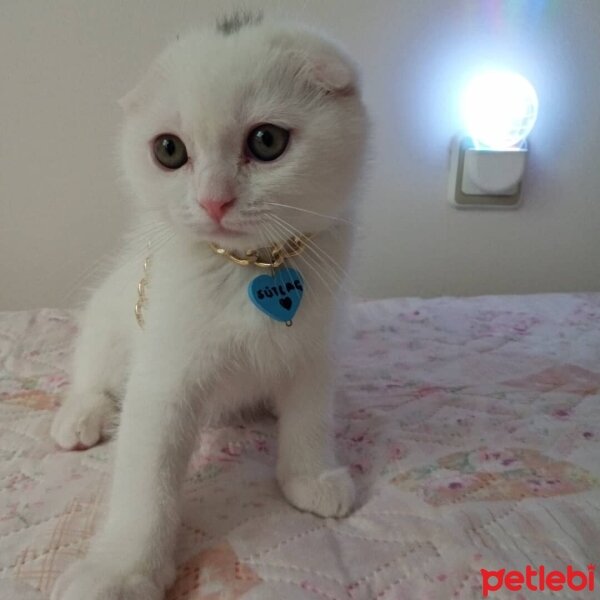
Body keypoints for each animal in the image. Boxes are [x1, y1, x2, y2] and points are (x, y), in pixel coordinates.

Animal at [50, 12, 366, 600]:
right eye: (169, 150)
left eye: (267, 141)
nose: (213, 200)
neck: (252, 266)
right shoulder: (164, 371)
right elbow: (145, 472)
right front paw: (121, 569)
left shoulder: (316, 343)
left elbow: (311, 412)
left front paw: (310, 476)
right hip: (108, 315)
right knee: (93, 372)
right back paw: (80, 416)